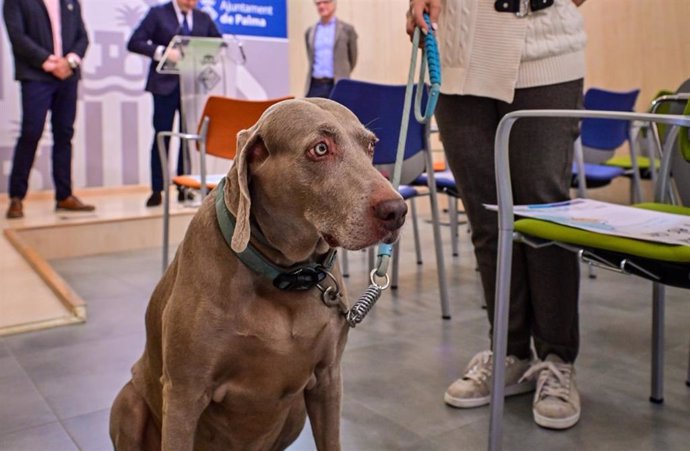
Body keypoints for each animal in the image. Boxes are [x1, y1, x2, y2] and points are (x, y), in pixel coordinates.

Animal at [110, 97, 406, 450]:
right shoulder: (184, 393)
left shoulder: (329, 378)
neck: (285, 275)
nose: (397, 211)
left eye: (370, 145)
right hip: (128, 402)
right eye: (320, 148)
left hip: (296, 412)